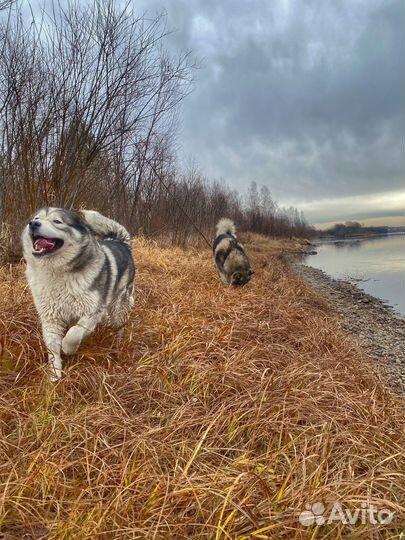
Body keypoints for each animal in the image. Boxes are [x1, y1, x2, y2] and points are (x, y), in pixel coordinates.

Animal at [21, 207, 135, 380]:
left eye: (57, 221)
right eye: (36, 218)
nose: (33, 224)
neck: (57, 273)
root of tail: (120, 242)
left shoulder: (91, 312)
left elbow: (74, 332)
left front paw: (68, 348)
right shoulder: (50, 318)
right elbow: (52, 350)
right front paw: (55, 375)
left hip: (118, 309)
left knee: (119, 327)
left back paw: (118, 344)